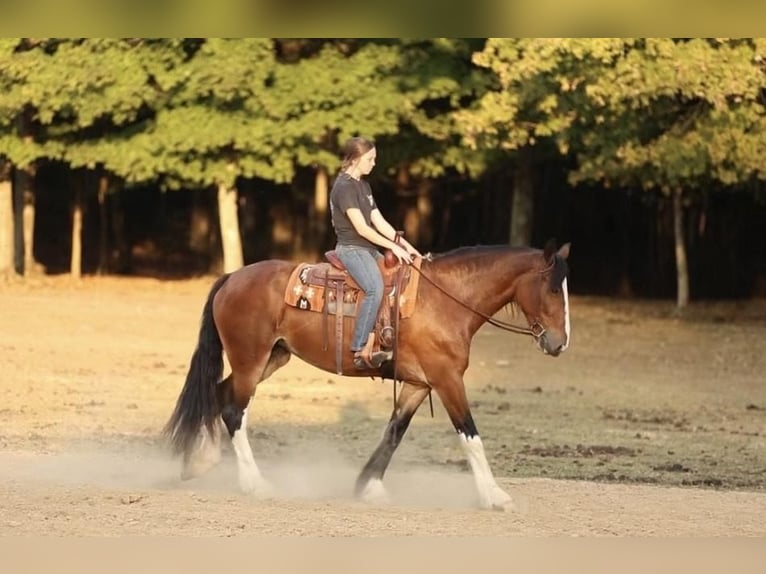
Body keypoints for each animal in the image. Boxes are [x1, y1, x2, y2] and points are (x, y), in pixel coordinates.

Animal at [164, 241, 568, 510]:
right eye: (551, 288)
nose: (560, 343)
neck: (445, 300)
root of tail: (232, 277)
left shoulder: (419, 384)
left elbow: (394, 432)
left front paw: (368, 486)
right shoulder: (447, 379)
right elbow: (470, 435)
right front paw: (494, 495)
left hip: (271, 358)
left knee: (219, 395)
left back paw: (200, 462)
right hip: (251, 360)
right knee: (234, 410)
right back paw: (254, 483)